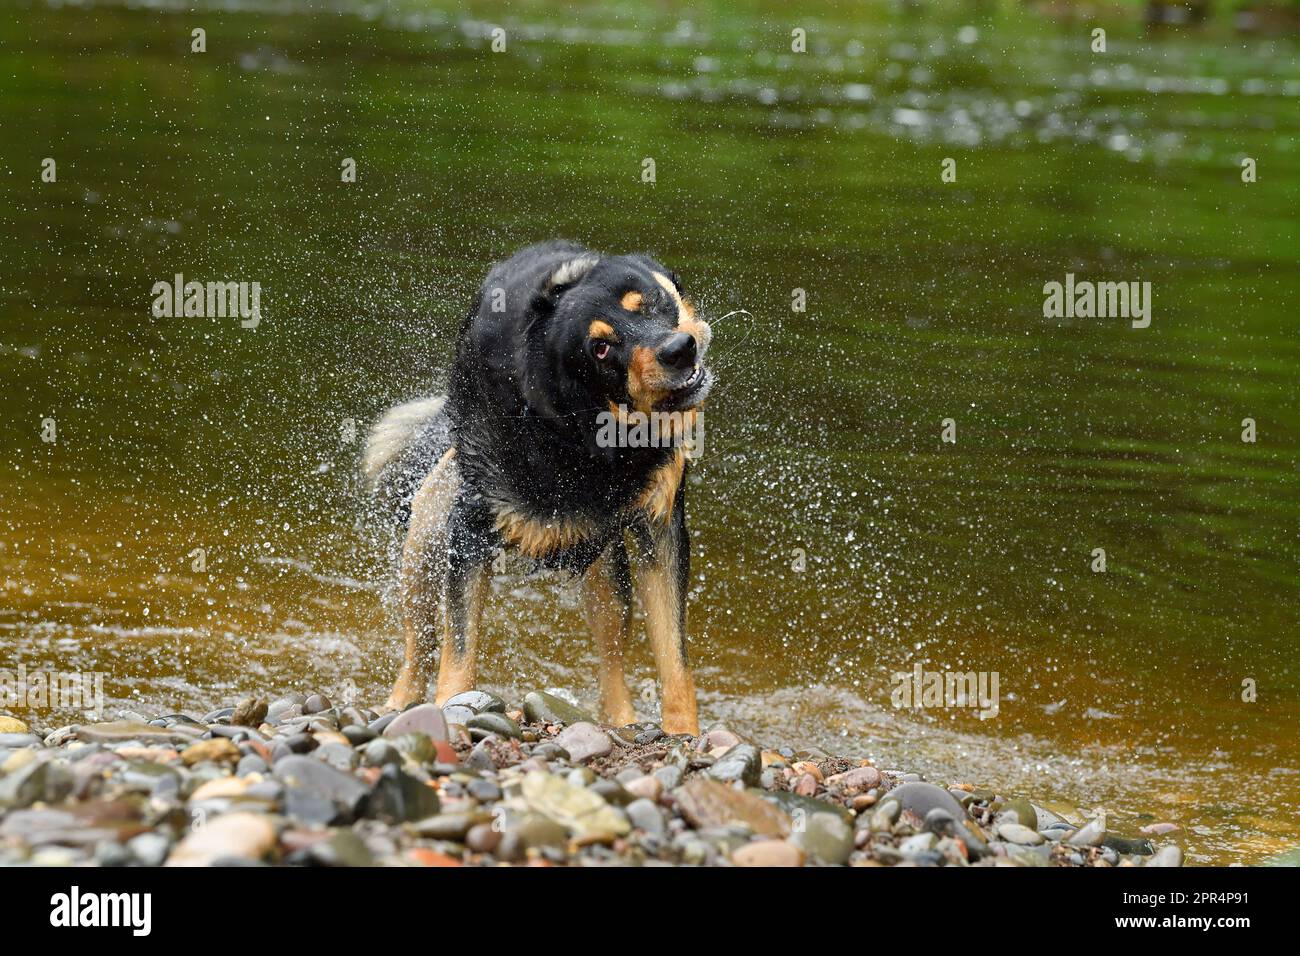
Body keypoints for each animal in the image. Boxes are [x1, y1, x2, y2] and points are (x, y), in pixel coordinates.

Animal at [361, 239, 717, 733]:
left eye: (650, 302)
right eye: (600, 348)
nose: (680, 349)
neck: (587, 438)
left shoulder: (661, 528)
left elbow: (674, 656)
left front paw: (684, 734)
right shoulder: (469, 528)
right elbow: (459, 648)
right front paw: (452, 708)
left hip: (606, 571)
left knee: (611, 663)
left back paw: (621, 720)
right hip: (425, 541)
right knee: (421, 646)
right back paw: (398, 705)